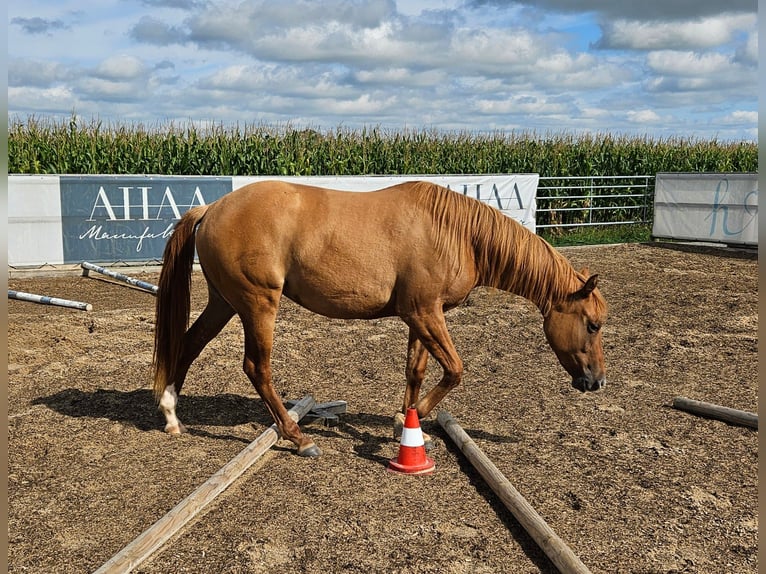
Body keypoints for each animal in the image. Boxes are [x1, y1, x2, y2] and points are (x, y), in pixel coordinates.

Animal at [153, 180, 608, 460]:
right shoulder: (424, 313)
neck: (455, 232)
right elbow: (455, 370)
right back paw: (298, 438)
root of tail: (212, 208)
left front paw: (407, 423)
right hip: (257, 304)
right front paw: (411, 419)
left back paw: (172, 415)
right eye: (593, 324)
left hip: (224, 303)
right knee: (256, 367)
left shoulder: (421, 316)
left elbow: (417, 371)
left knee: (189, 345)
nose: (597, 381)